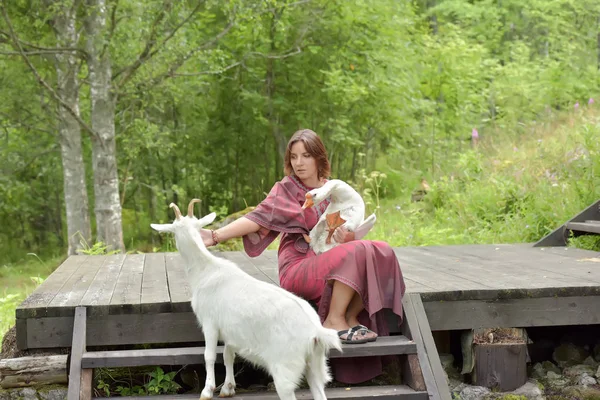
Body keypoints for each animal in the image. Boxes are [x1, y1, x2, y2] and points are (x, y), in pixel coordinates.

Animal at [150, 200, 342, 400]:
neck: (206, 270)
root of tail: (315, 331)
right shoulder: (229, 330)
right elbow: (228, 355)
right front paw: (228, 388)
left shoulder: (210, 323)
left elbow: (209, 355)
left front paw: (207, 390)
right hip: (315, 363)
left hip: (285, 368)